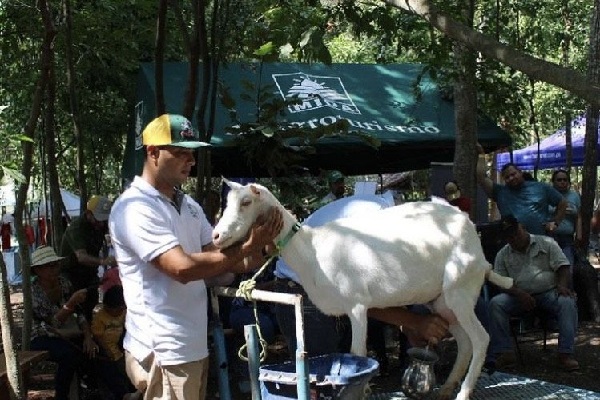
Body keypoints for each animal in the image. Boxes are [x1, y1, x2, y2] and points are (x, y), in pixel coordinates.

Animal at [213, 182, 512, 400]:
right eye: (227, 203)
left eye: (246, 202)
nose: (216, 237)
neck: (312, 249)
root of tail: (476, 242)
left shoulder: (356, 305)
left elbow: (357, 354)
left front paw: (360, 388)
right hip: (443, 301)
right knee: (465, 342)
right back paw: (448, 389)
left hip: (460, 290)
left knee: (481, 339)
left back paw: (463, 393)